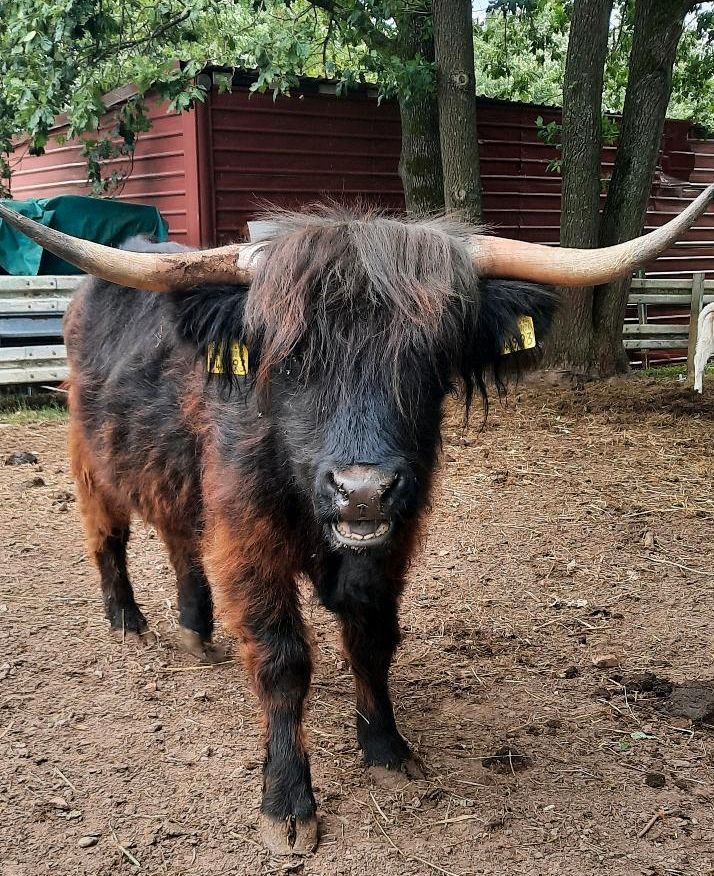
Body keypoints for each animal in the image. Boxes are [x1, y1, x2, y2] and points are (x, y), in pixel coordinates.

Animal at [0, 186, 708, 856]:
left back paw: (196, 630)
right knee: (108, 534)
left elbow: (372, 637)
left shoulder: (390, 543)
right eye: (291, 358)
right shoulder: (246, 538)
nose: (362, 490)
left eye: (428, 359)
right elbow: (283, 660)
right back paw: (128, 621)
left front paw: (388, 749)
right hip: (91, 457)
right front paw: (287, 804)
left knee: (180, 541)